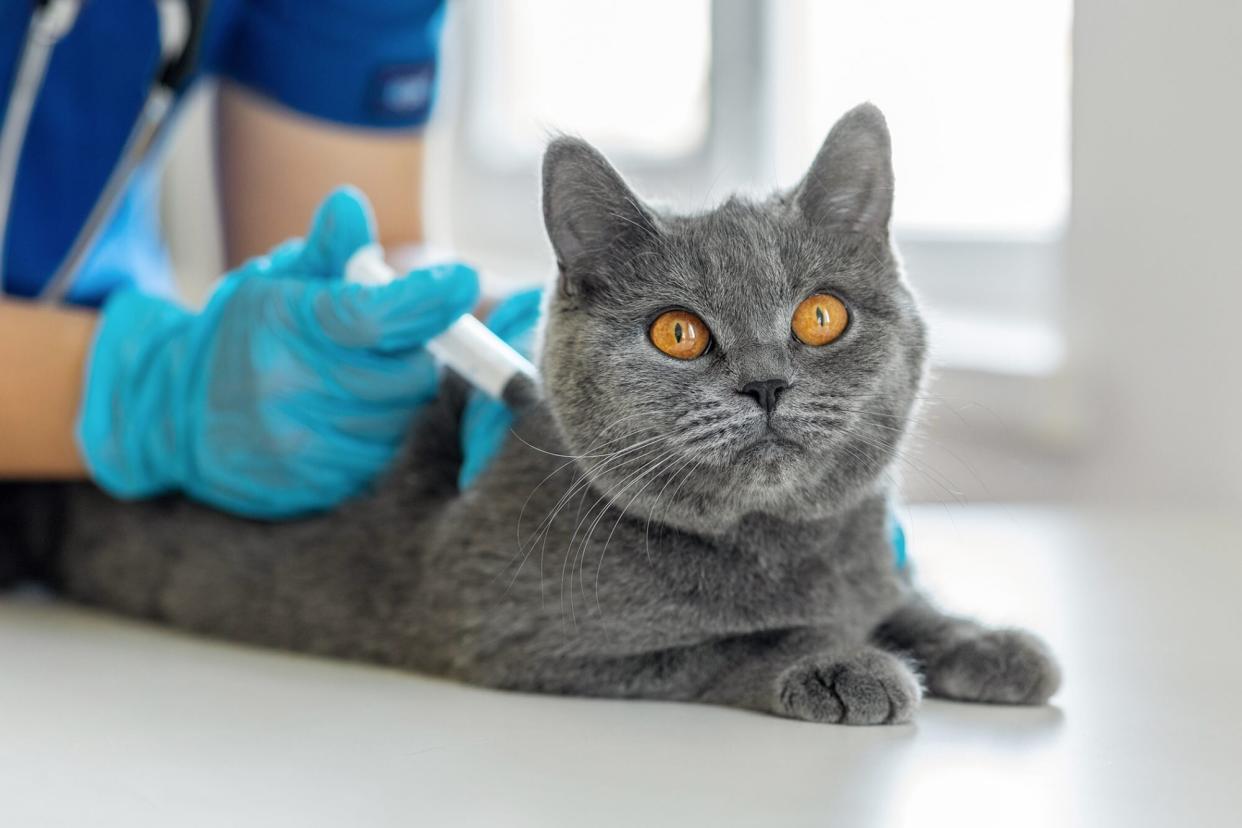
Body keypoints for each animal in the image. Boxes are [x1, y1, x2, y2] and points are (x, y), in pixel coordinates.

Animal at [4, 105, 1063, 724]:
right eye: (679, 332)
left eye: (819, 316)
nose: (766, 384)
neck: (781, 545)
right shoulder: (518, 635)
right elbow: (737, 640)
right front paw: (847, 664)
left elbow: (900, 600)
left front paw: (985, 641)